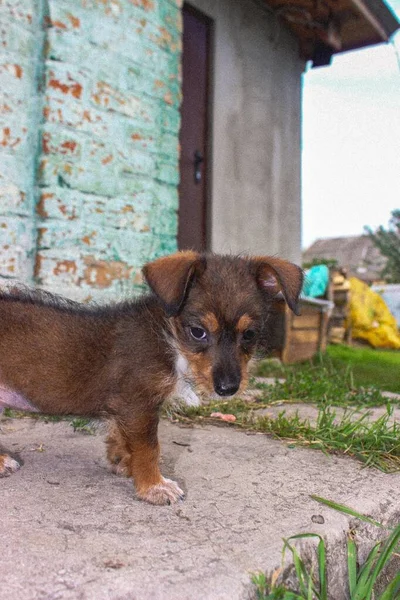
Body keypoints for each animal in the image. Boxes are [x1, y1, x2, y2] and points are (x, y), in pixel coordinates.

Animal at [0, 251, 302, 504]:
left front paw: (124, 462)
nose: (228, 388)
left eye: (249, 334)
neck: (170, 338)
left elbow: (121, 437)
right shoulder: (138, 405)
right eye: (198, 331)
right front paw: (153, 486)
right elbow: (149, 449)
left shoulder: (128, 410)